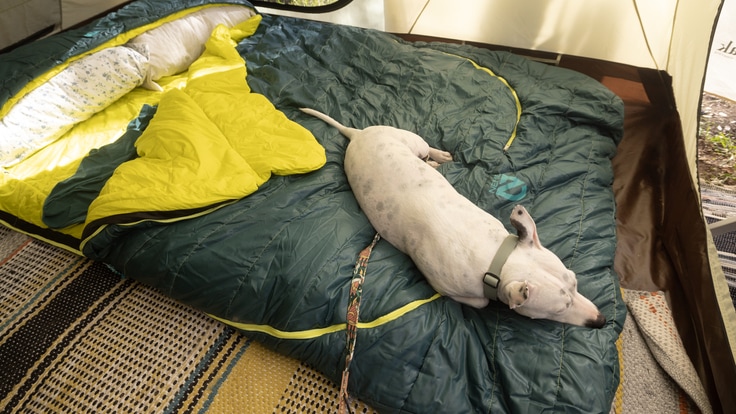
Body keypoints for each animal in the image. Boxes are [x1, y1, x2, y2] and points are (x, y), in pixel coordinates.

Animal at [300, 108, 604, 328]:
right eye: (560, 309)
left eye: (575, 282)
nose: (600, 321)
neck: (496, 258)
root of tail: (357, 134)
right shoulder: (448, 286)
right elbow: (482, 302)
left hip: (411, 140)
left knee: (425, 151)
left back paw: (437, 159)